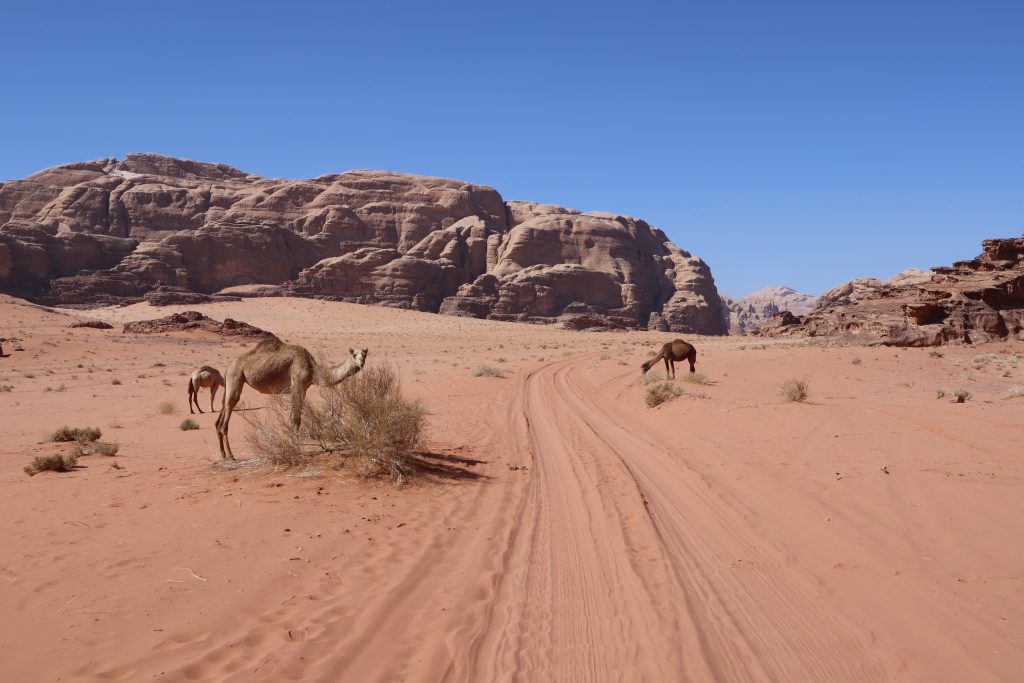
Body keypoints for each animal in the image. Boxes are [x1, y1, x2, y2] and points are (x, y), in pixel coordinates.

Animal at [215, 335, 368, 458]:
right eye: (354, 355)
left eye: (364, 355)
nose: (361, 364)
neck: (313, 369)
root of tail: (228, 367)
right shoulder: (297, 386)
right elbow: (296, 419)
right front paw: (296, 448)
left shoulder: (304, 388)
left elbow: (293, 418)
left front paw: (292, 445)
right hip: (236, 377)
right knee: (226, 419)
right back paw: (231, 456)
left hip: (230, 382)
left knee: (220, 416)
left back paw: (223, 454)